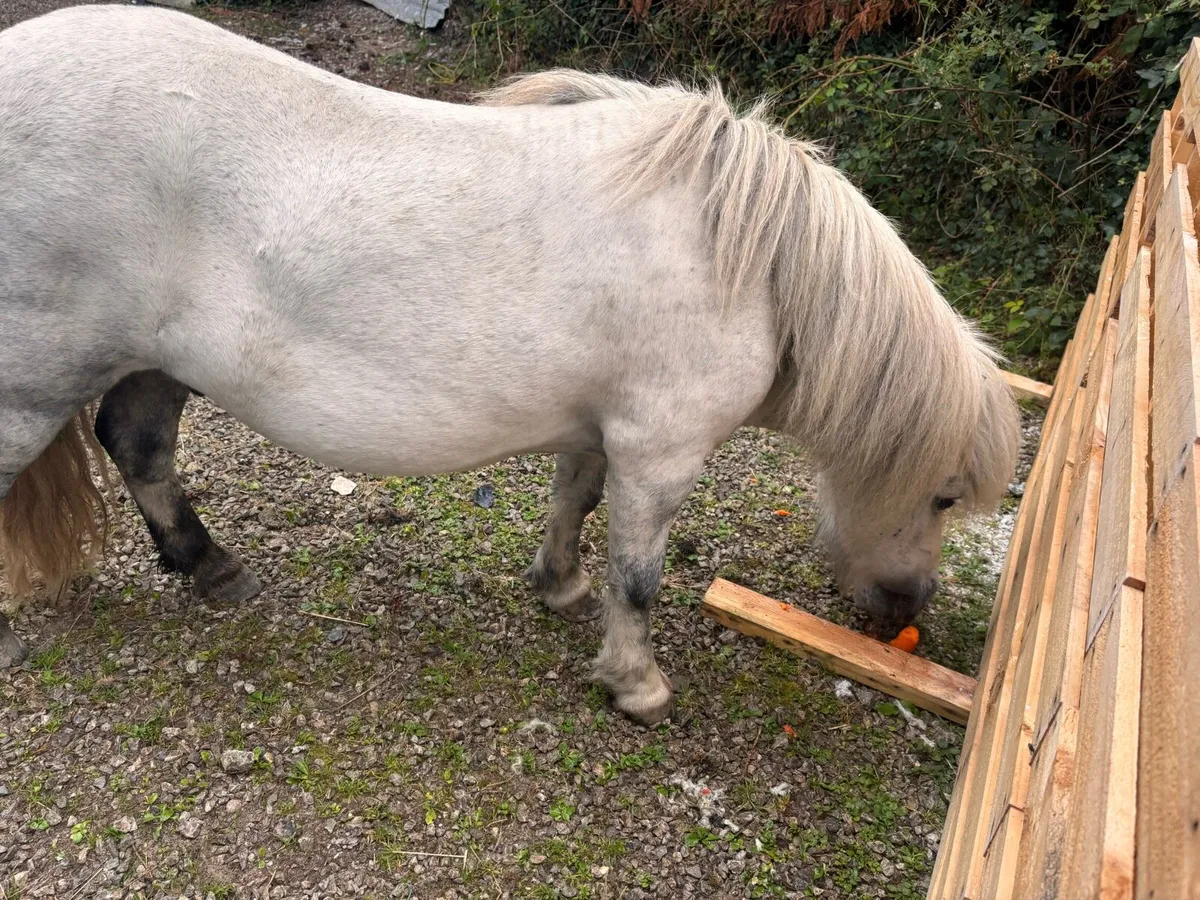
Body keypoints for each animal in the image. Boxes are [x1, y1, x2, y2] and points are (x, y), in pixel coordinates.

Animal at [0, 5, 1019, 725]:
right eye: (940, 495)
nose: (905, 609)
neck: (751, 263)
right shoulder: (662, 452)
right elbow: (639, 575)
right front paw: (637, 685)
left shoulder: (602, 428)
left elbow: (576, 499)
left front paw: (559, 586)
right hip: (36, 384)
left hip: (153, 359)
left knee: (139, 447)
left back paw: (208, 565)